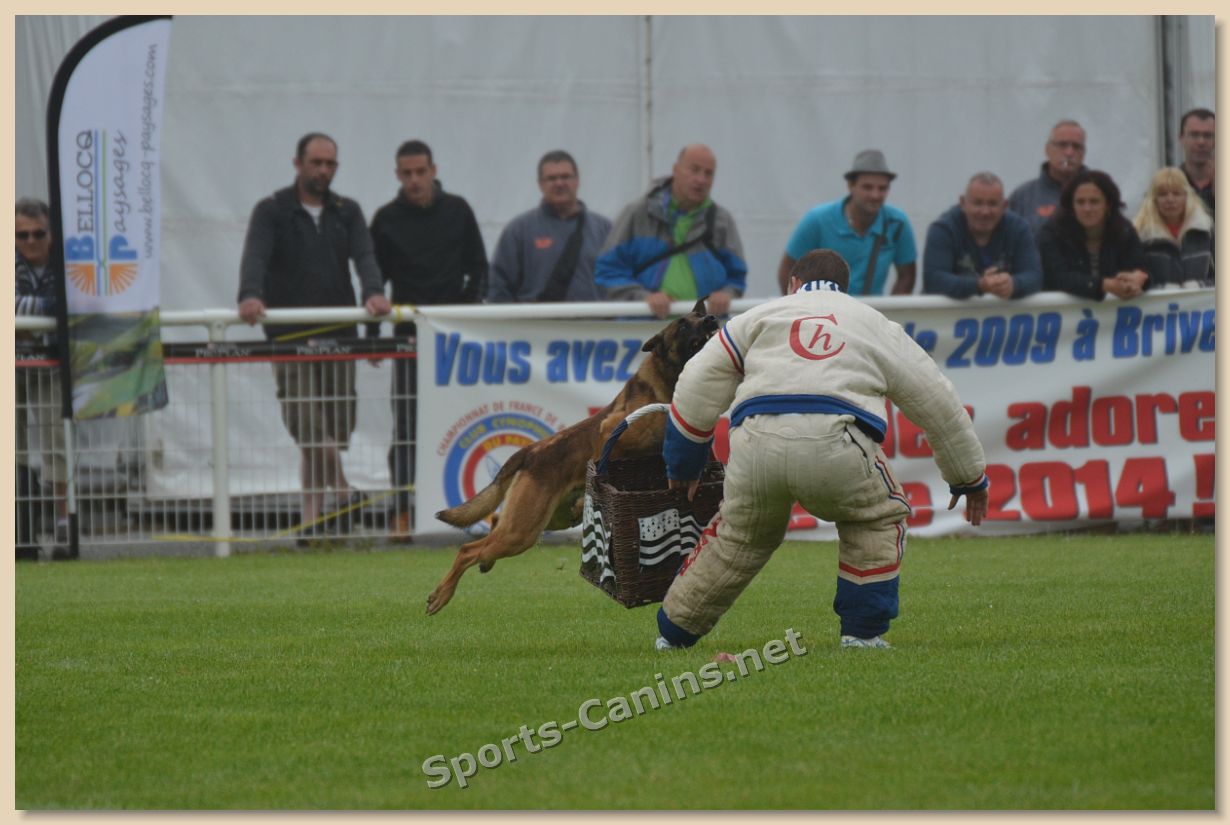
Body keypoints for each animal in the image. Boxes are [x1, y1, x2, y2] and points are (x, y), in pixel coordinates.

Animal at [426, 299, 719, 615]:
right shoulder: (611, 431)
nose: (712, 319)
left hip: (542, 521)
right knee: (467, 549)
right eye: (683, 325)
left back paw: (484, 563)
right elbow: (606, 457)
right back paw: (441, 595)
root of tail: (529, 452)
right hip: (522, 531)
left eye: (700, 315)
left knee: (492, 524)